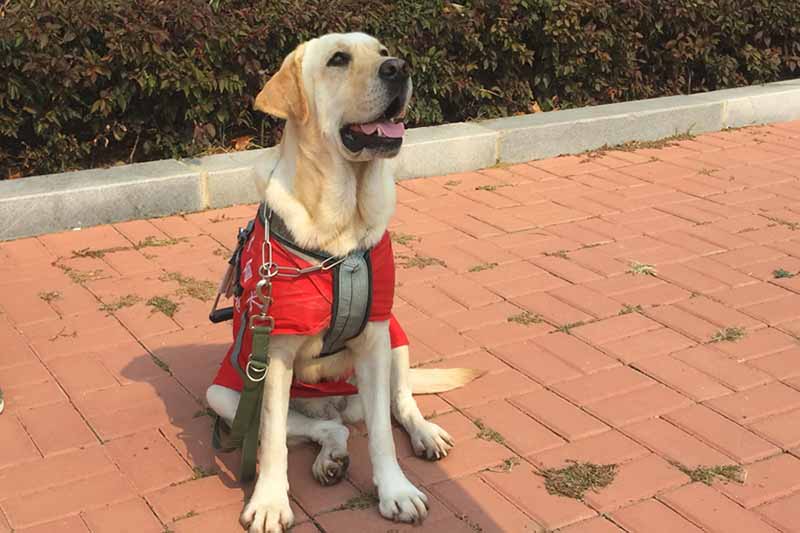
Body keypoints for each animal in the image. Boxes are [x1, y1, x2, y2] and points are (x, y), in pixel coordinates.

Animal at [206, 34, 478, 532]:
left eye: (383, 51)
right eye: (338, 59)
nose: (400, 68)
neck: (341, 228)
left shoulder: (374, 336)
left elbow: (382, 436)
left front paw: (396, 491)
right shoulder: (273, 353)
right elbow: (271, 440)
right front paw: (269, 502)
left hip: (396, 339)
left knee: (399, 404)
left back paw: (424, 434)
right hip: (226, 394)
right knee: (323, 429)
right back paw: (329, 457)